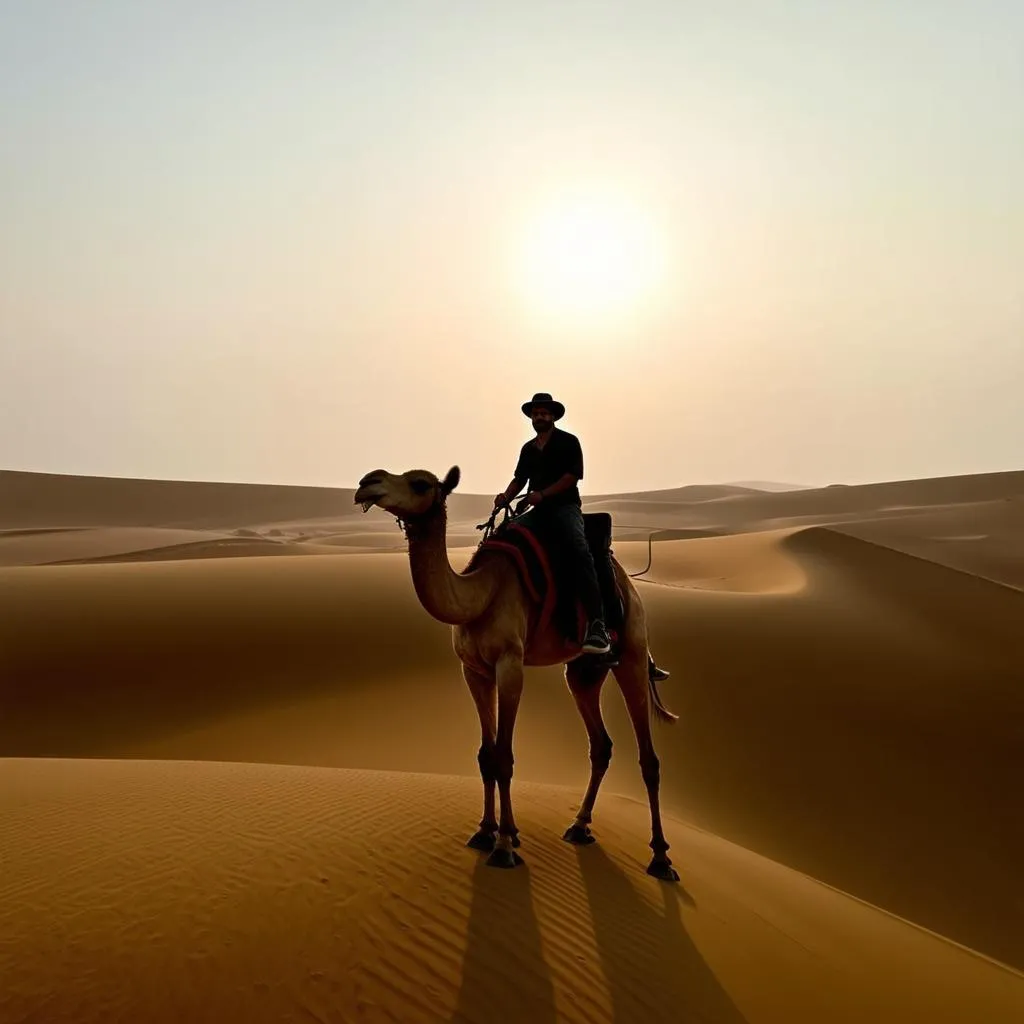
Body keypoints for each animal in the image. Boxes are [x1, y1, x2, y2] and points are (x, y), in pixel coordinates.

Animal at [352, 464, 679, 880]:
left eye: (421, 483)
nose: (367, 482)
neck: (481, 595)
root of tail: (629, 585)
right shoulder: (473, 671)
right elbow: (485, 755)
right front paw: (484, 831)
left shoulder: (509, 665)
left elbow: (505, 758)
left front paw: (506, 844)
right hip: (584, 671)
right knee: (601, 744)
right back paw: (579, 826)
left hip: (633, 652)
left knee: (649, 759)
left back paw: (661, 858)